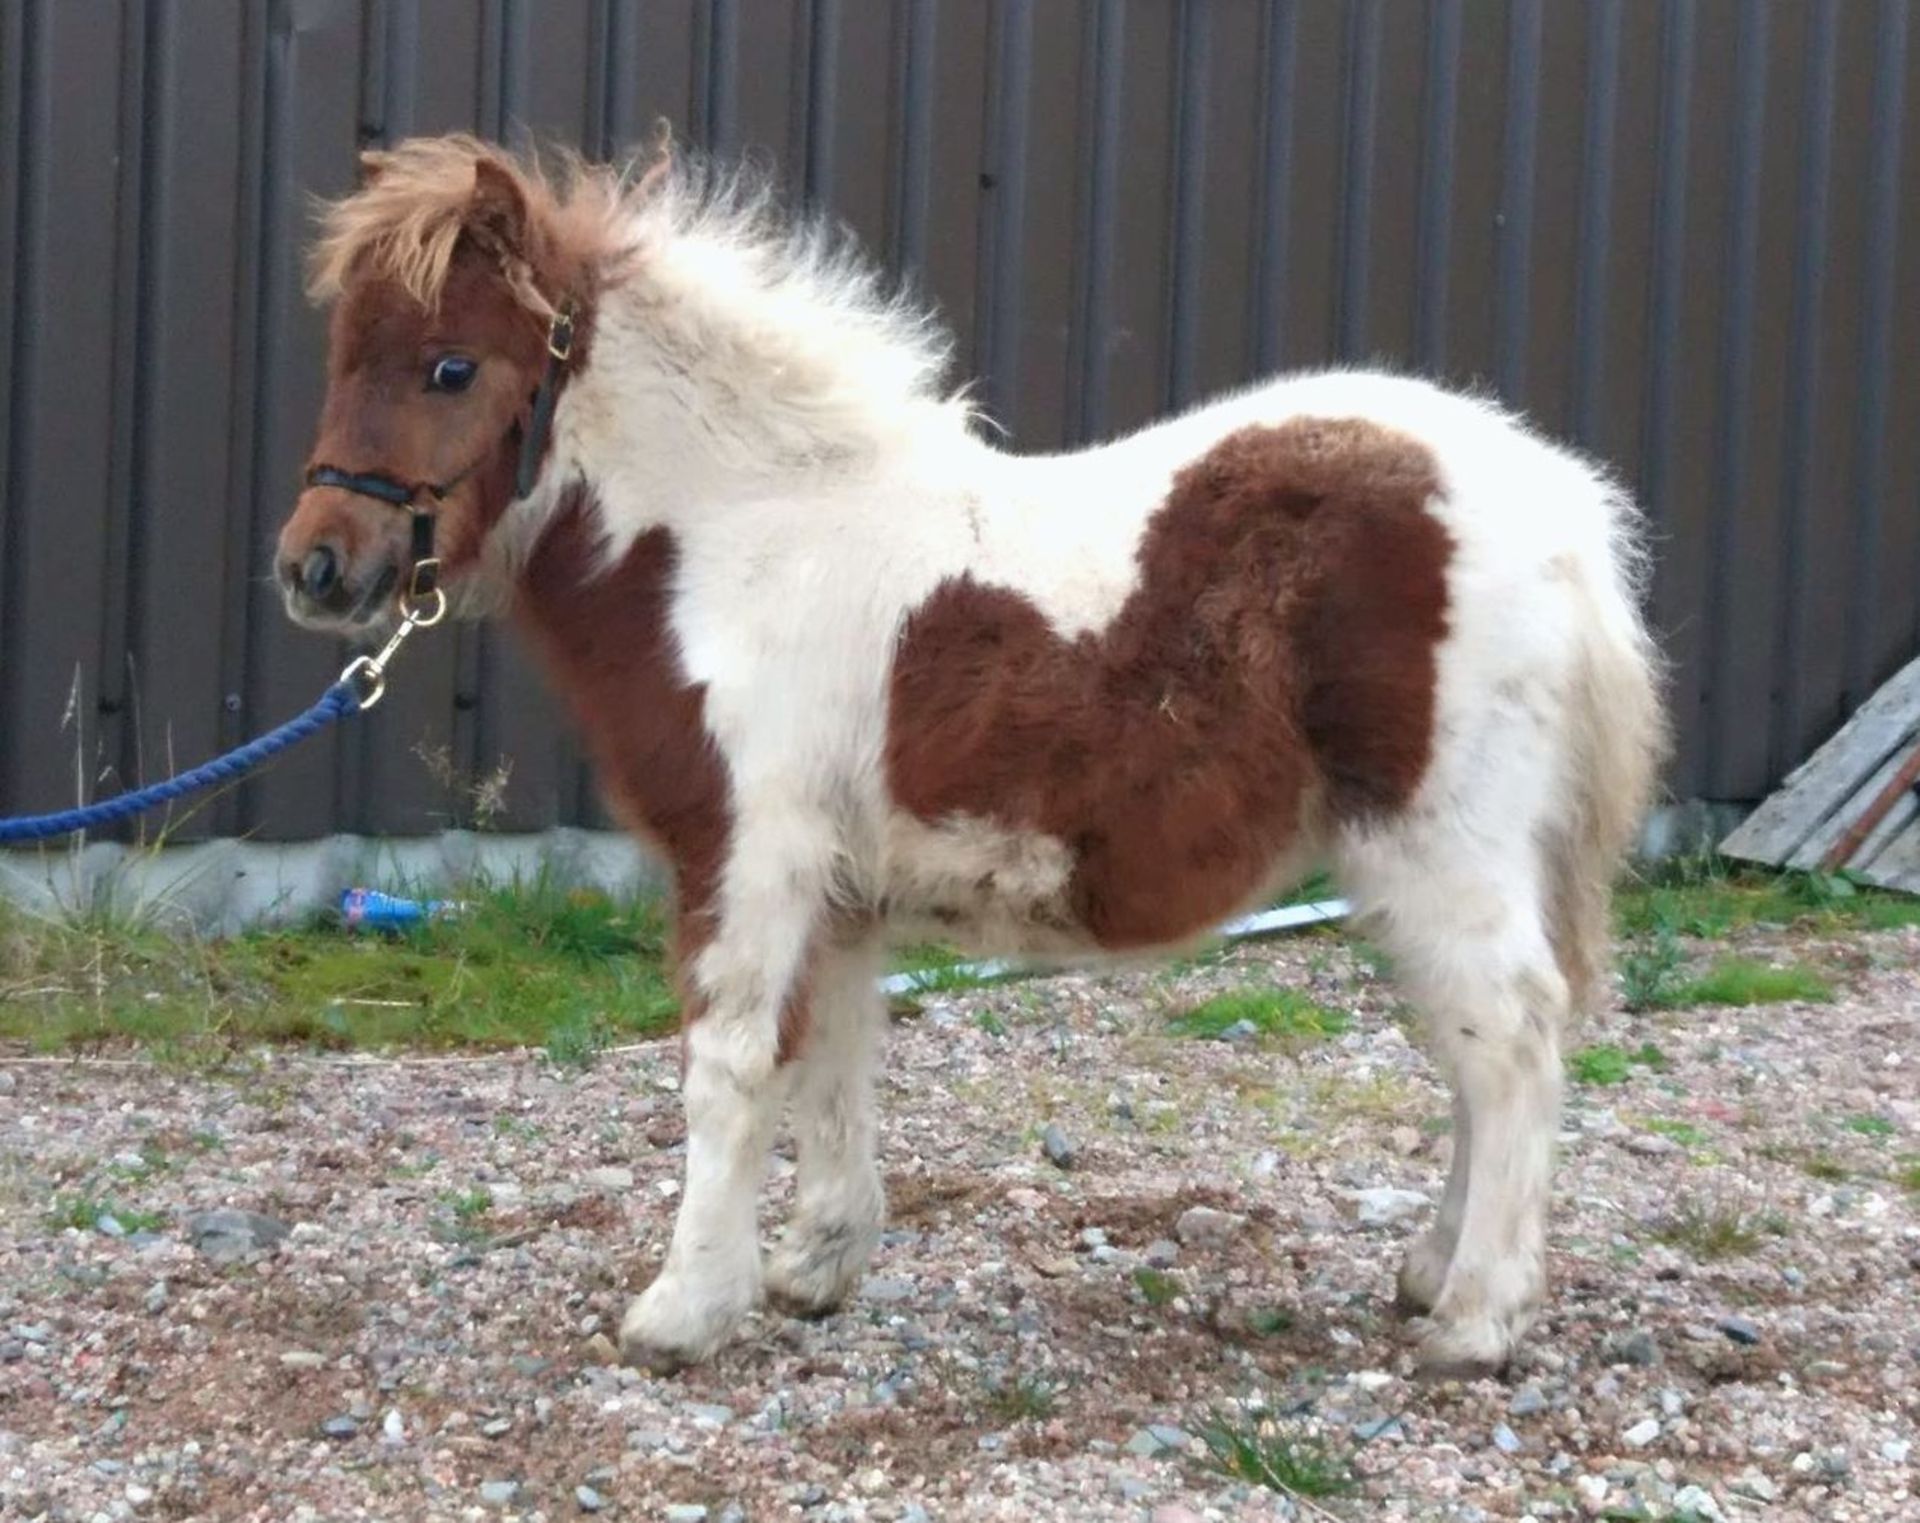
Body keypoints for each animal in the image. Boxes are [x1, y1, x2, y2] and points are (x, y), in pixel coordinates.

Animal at [274, 136, 1666, 1375]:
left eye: (452, 366)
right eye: (339, 358)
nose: (316, 567)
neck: (741, 541)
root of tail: (1564, 509)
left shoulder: (747, 855)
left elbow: (728, 1065)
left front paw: (682, 1310)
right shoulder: (834, 889)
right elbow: (832, 1058)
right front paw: (814, 1268)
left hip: (1445, 846)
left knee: (1512, 1035)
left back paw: (1476, 1321)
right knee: (1471, 1046)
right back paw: (1434, 1273)